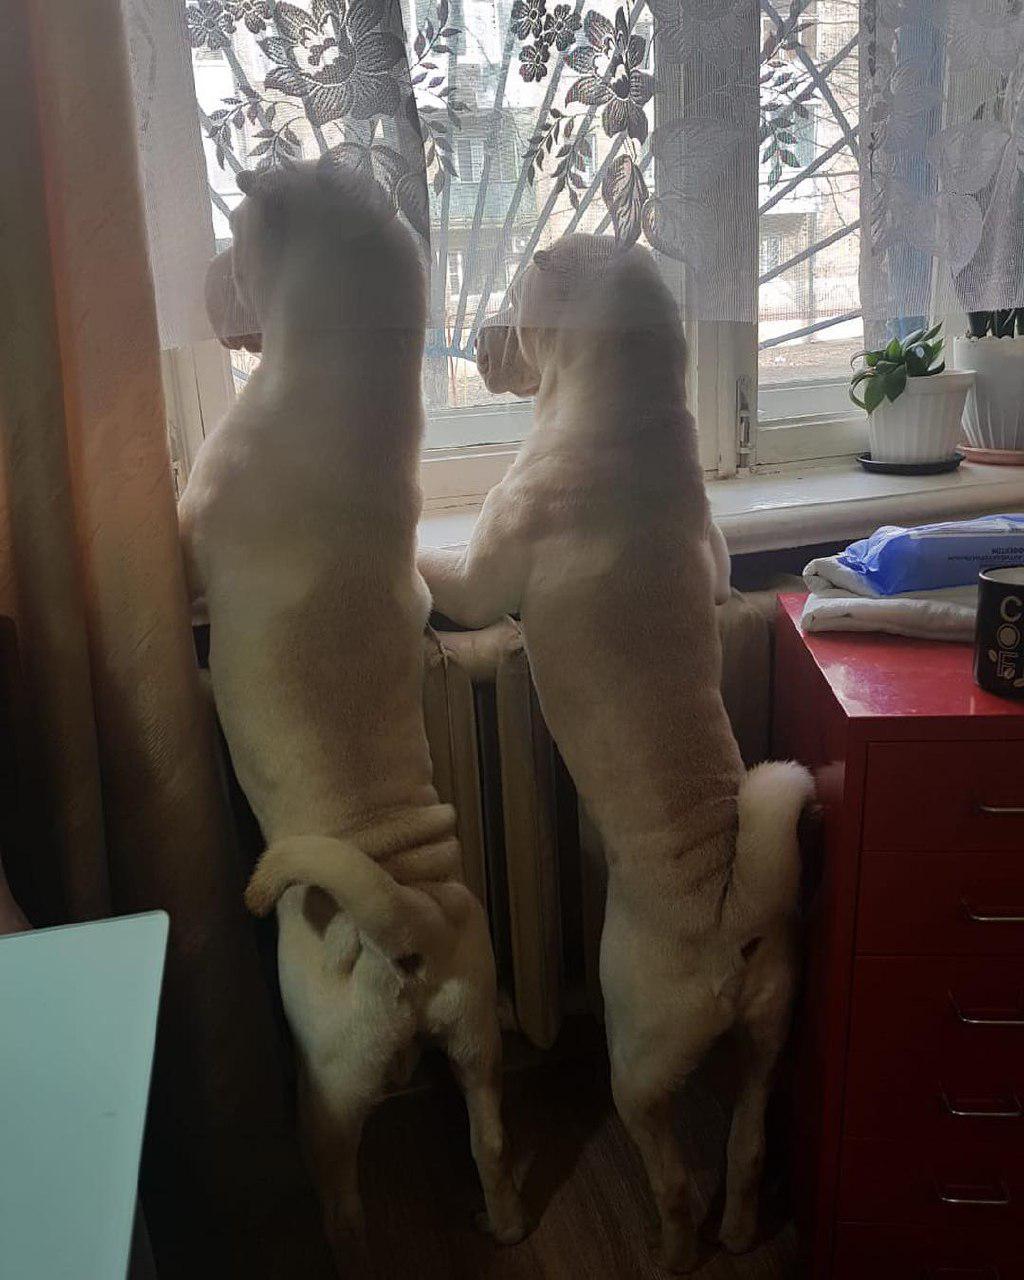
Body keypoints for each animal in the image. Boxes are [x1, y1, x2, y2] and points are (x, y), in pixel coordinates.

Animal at [176, 162, 524, 1259]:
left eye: (241, 237)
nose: (205, 277)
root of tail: (402, 917)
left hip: (327, 1090)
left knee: (341, 1192)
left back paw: (343, 1241)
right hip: (479, 1036)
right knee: (490, 1137)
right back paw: (499, 1215)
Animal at [417, 238, 814, 1269]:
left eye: (518, 304)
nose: (483, 335)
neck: (623, 407)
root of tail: (731, 915)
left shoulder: (479, 584)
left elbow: (441, 580)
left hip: (636, 1058)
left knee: (673, 1175)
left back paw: (675, 1250)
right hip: (767, 1042)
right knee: (748, 1144)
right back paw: (742, 1228)